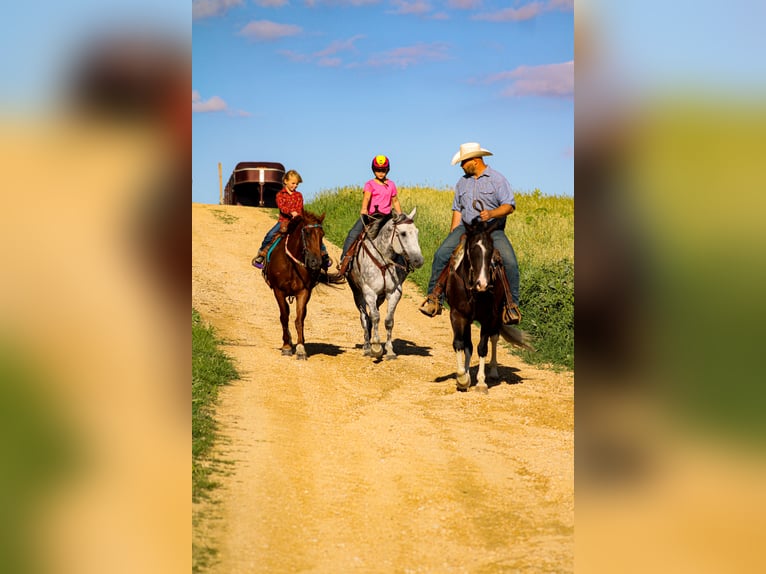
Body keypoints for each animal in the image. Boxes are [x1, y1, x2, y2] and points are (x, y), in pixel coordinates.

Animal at [260, 212, 328, 360]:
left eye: (322, 234)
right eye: (307, 233)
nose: (316, 262)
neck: (291, 264)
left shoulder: (304, 292)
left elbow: (299, 319)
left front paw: (301, 348)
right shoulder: (278, 292)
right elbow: (284, 317)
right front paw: (286, 347)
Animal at [348, 207, 426, 360]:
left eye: (417, 232)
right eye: (403, 233)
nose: (418, 260)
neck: (383, 262)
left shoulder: (393, 293)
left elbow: (389, 320)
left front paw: (389, 350)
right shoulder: (369, 292)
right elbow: (376, 317)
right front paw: (376, 347)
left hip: (381, 297)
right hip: (358, 294)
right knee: (365, 318)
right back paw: (367, 347)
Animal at [444, 218, 536, 394]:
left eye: (491, 250)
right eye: (473, 248)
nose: (483, 284)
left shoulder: (487, 317)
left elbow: (482, 347)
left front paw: (481, 383)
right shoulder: (457, 315)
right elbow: (460, 344)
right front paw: (463, 379)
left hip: (497, 315)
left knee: (494, 338)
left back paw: (493, 371)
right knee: (469, 345)